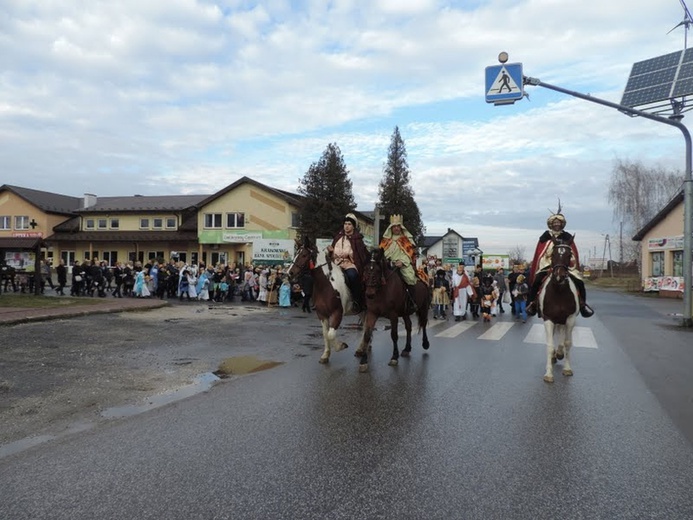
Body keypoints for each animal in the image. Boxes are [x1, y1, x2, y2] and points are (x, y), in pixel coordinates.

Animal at [536, 239, 580, 382]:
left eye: (569, 255)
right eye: (553, 254)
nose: (559, 276)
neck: (559, 291)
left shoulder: (570, 318)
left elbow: (567, 343)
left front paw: (567, 368)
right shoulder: (548, 319)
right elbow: (549, 345)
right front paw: (549, 374)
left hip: (562, 320)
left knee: (561, 336)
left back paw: (559, 354)